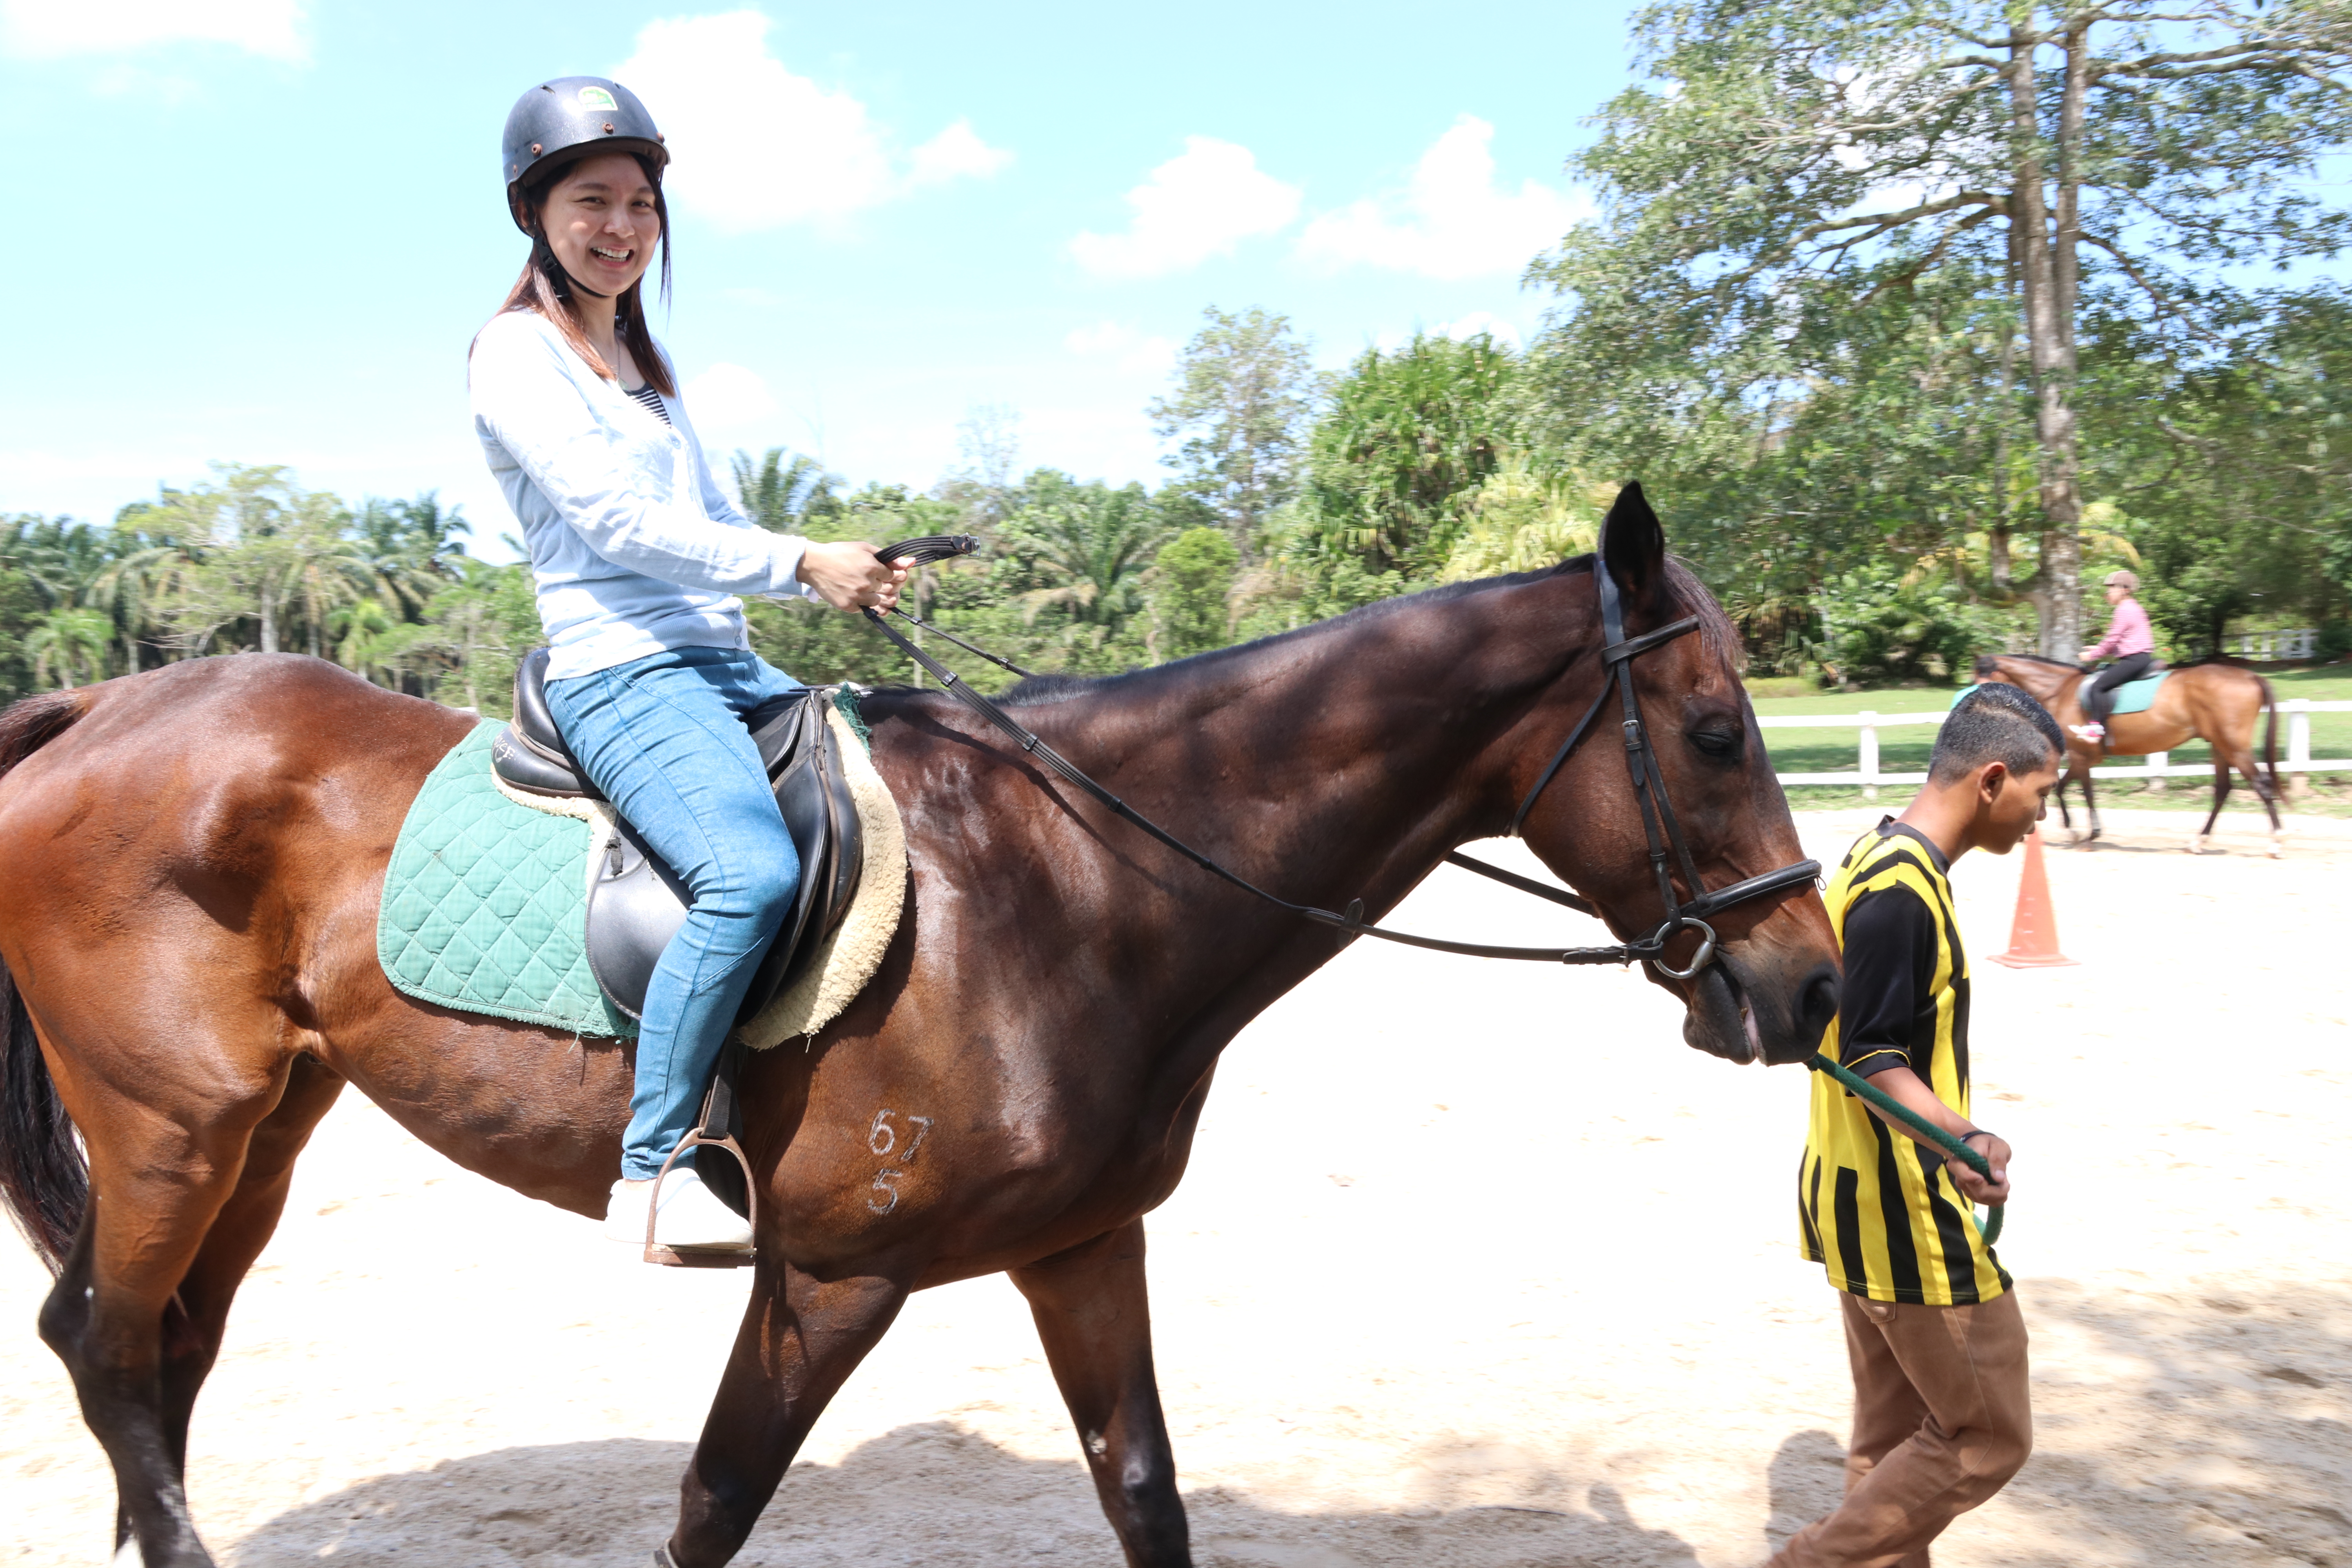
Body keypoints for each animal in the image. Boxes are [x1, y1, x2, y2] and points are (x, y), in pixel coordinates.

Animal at [0, 490, 1839, 1568]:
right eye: (1714, 728)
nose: (1814, 987)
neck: (1071, 881)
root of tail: (100, 707)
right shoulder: (828, 1277)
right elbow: (709, 1508)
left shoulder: (1084, 1246)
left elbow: (1143, 1493)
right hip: (172, 1127)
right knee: (105, 1340)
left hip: (268, 1125)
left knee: (164, 1353)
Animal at [1973, 653, 2283, 856]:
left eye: (1980, 679)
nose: (1970, 703)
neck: (2059, 691)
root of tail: (2250, 675)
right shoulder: (2084, 758)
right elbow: (2064, 788)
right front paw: (2077, 832)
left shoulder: (2081, 756)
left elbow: (2081, 792)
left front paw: (2087, 835)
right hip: (2219, 746)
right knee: (2223, 790)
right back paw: (2199, 842)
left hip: (2234, 747)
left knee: (2261, 786)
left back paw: (2276, 842)